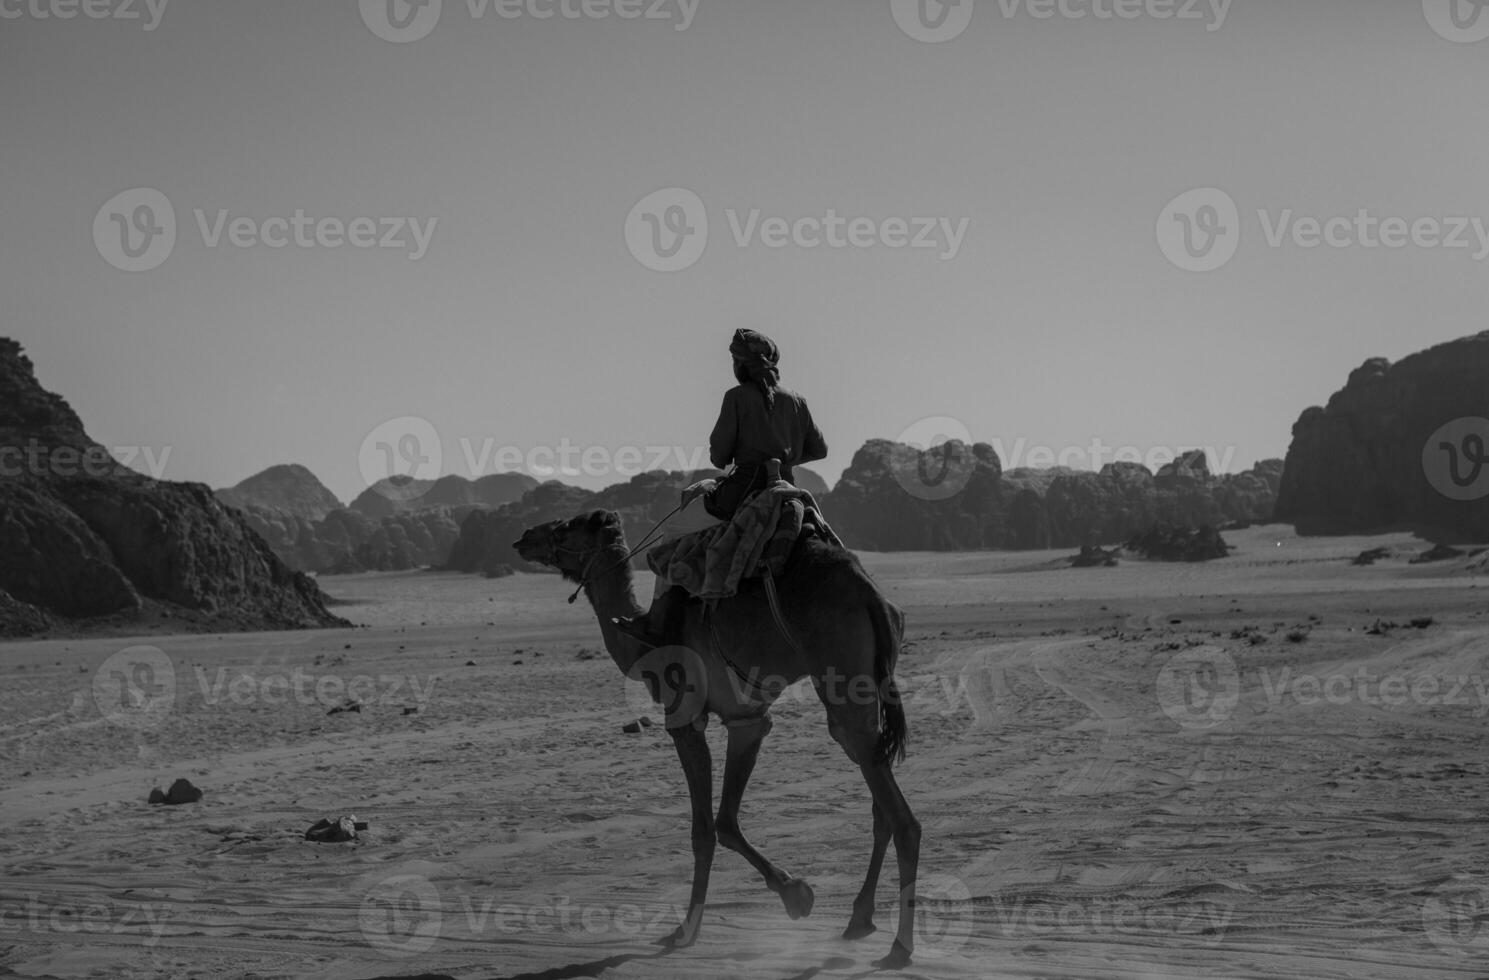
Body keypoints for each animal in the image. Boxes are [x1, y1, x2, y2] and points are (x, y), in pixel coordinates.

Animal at [518, 506, 923, 965]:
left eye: (568, 526)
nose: (525, 537)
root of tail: (872, 598)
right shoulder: (747, 720)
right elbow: (727, 821)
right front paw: (795, 893)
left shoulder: (684, 717)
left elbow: (704, 830)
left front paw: (686, 930)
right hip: (858, 698)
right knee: (878, 798)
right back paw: (859, 919)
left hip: (842, 677)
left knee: (904, 820)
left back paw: (899, 947)